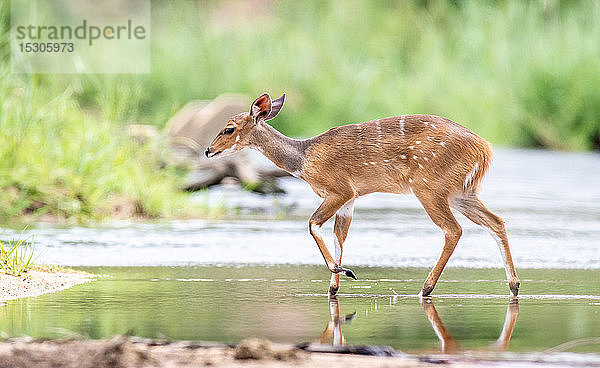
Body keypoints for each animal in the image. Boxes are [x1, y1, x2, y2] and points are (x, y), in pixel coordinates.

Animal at [206, 92, 520, 300]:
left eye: (229, 128)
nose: (208, 150)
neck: (303, 159)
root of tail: (485, 150)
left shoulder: (339, 189)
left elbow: (312, 224)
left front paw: (345, 272)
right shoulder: (351, 199)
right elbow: (339, 236)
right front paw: (334, 287)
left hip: (429, 187)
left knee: (453, 229)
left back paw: (425, 289)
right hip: (461, 192)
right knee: (496, 221)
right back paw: (514, 286)